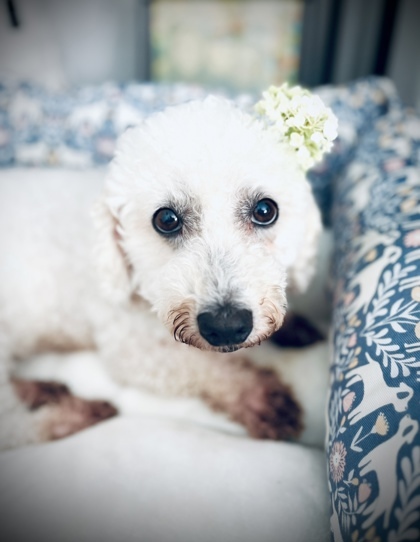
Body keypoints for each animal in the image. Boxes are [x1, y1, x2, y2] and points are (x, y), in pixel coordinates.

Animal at [0, 96, 324, 450]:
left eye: (265, 211)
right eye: (166, 219)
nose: (226, 326)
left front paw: (292, 326)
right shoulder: (133, 349)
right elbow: (207, 367)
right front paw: (256, 397)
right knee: (13, 425)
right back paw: (69, 415)